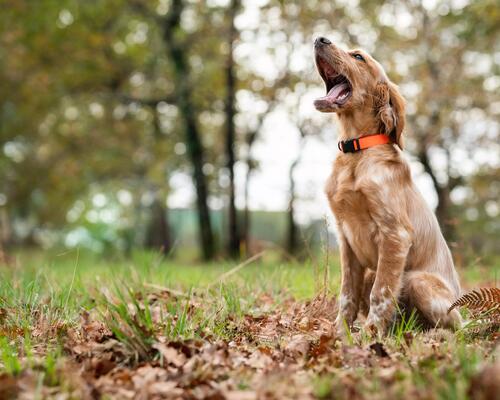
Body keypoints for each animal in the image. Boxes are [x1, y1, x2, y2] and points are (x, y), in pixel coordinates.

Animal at [314, 36, 462, 334]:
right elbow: (347, 294)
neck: (357, 151)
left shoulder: (395, 234)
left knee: (454, 325)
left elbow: (381, 293)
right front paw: (340, 333)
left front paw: (370, 335)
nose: (319, 39)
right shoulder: (345, 238)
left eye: (358, 57)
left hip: (417, 280)